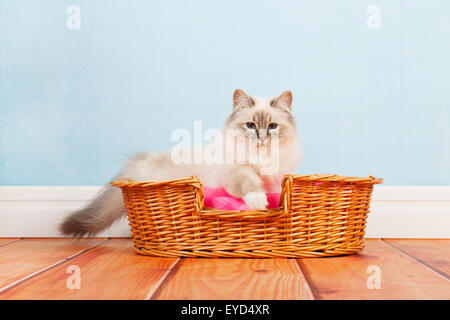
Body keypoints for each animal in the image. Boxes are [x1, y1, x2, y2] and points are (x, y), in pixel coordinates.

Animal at [58, 89, 300, 236]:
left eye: (272, 127)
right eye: (250, 125)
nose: (262, 138)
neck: (262, 157)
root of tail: (139, 164)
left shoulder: (274, 179)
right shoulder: (236, 172)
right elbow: (249, 185)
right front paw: (259, 202)